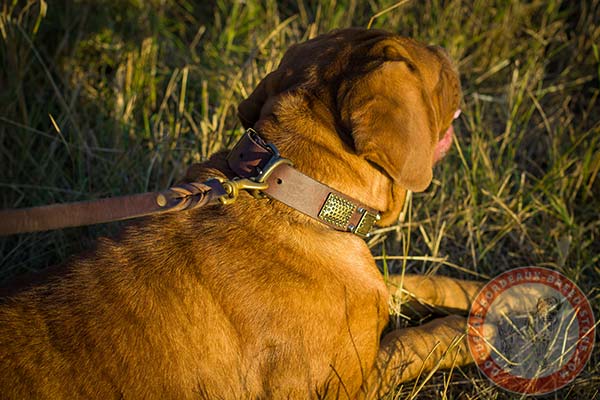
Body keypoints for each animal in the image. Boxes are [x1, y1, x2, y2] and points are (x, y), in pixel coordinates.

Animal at [0, 27, 482, 396]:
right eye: (433, 69)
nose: (448, 52)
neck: (295, 191)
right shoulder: (346, 386)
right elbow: (413, 342)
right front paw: (474, 331)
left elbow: (416, 281)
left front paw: (477, 294)